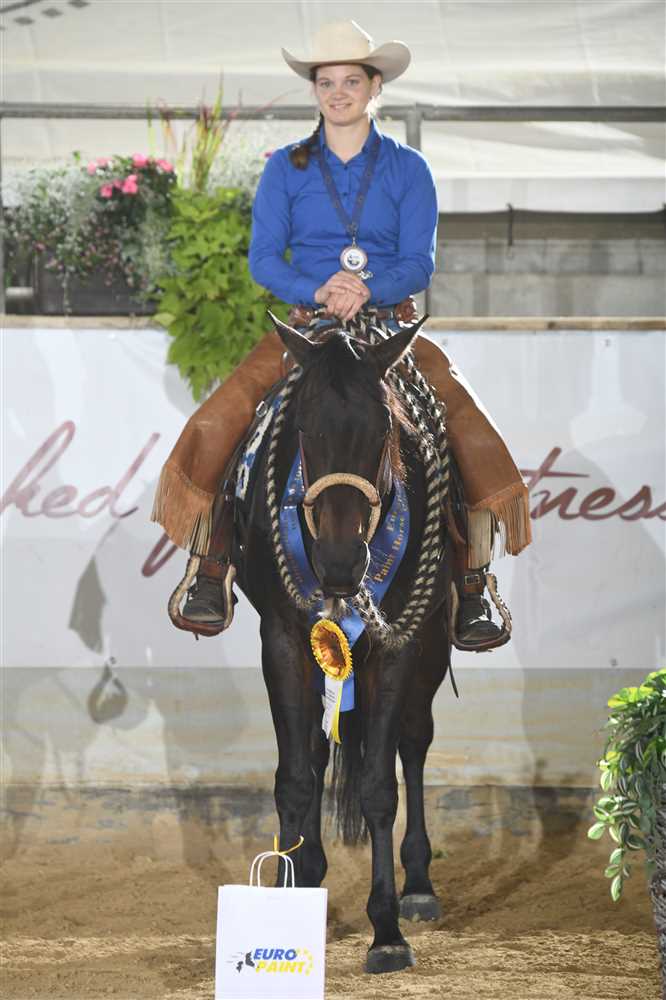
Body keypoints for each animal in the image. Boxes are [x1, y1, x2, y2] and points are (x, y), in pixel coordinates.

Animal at [233, 312, 454, 975]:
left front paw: (386, 932)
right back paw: (311, 873)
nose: (337, 562)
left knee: (413, 741)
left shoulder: (399, 647)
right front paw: (292, 897)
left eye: (384, 428)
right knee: (313, 750)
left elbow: (380, 786)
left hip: (432, 645)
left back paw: (418, 888)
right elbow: (295, 776)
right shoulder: (282, 641)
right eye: (304, 426)